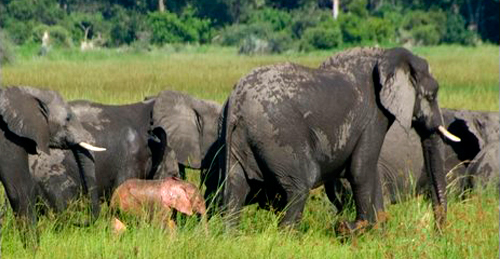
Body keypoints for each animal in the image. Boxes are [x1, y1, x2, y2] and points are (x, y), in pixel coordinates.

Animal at [206, 47, 460, 234]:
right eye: (431, 95)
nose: (438, 233)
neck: (387, 55)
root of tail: (235, 100)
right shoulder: (372, 116)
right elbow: (361, 170)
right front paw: (357, 229)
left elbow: (368, 170)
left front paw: (377, 232)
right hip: (278, 135)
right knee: (299, 185)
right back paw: (287, 239)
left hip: (235, 138)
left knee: (235, 189)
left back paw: (231, 237)